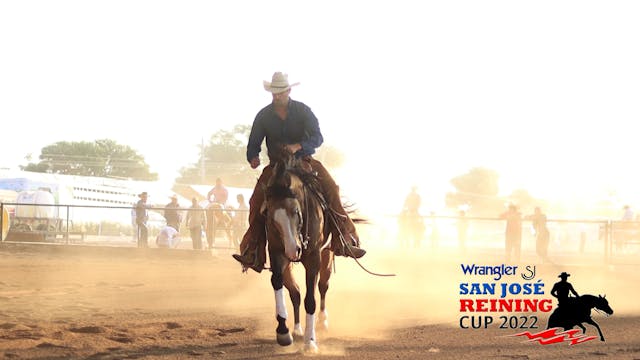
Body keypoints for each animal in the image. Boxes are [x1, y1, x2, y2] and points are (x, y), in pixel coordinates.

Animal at [262, 153, 336, 352]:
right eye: (271, 217)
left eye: (296, 211)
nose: (293, 249)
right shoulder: (277, 252)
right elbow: (278, 283)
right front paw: (283, 332)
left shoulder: (313, 258)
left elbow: (310, 300)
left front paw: (310, 342)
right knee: (295, 292)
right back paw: (296, 330)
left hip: (327, 255)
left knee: (323, 286)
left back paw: (322, 321)